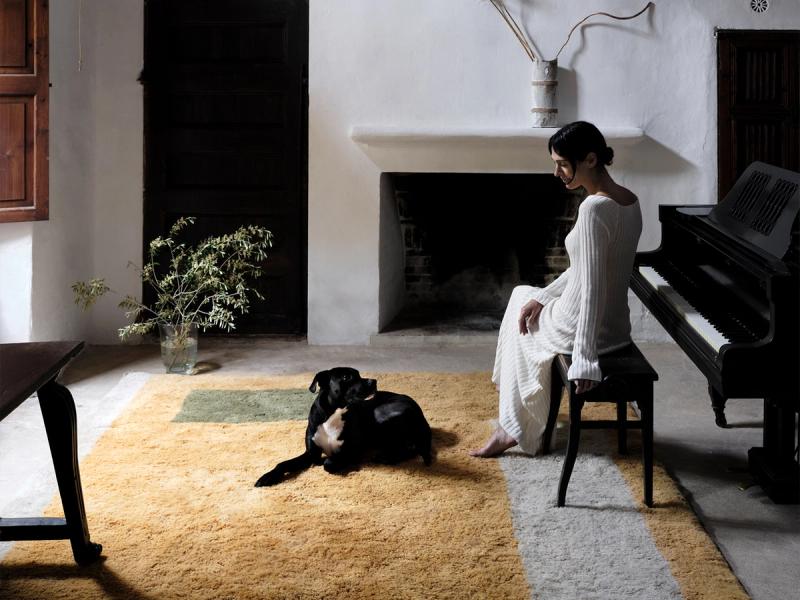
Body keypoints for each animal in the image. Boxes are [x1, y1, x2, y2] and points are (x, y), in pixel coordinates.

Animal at [255, 366, 432, 488]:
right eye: (346, 377)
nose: (374, 381)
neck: (333, 413)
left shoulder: (353, 451)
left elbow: (329, 463)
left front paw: (330, 462)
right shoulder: (311, 453)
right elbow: (283, 463)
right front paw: (267, 477)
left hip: (381, 414)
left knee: (411, 447)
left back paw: (386, 457)